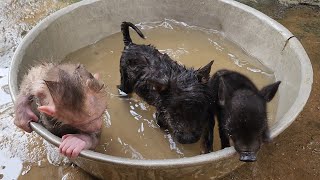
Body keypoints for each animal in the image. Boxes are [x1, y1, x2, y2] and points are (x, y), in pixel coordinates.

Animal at [119, 21, 214, 153]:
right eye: (173, 113)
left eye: (199, 109)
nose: (188, 140)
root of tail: (131, 45)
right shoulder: (161, 116)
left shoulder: (209, 111)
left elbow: (209, 131)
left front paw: (207, 148)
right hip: (125, 80)